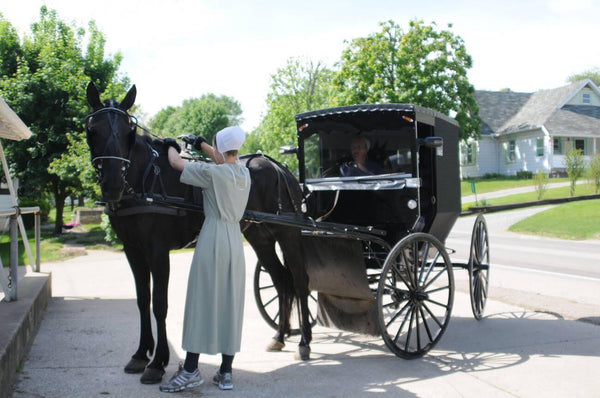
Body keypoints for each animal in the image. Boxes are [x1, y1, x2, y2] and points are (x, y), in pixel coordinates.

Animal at [85, 82, 314, 384]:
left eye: (128, 132)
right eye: (93, 130)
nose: (112, 184)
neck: (146, 178)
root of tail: (280, 167)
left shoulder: (158, 249)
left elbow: (159, 303)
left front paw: (157, 363)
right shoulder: (132, 249)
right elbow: (142, 300)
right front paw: (140, 354)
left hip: (288, 235)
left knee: (299, 281)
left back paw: (304, 342)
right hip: (260, 237)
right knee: (280, 279)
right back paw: (279, 336)